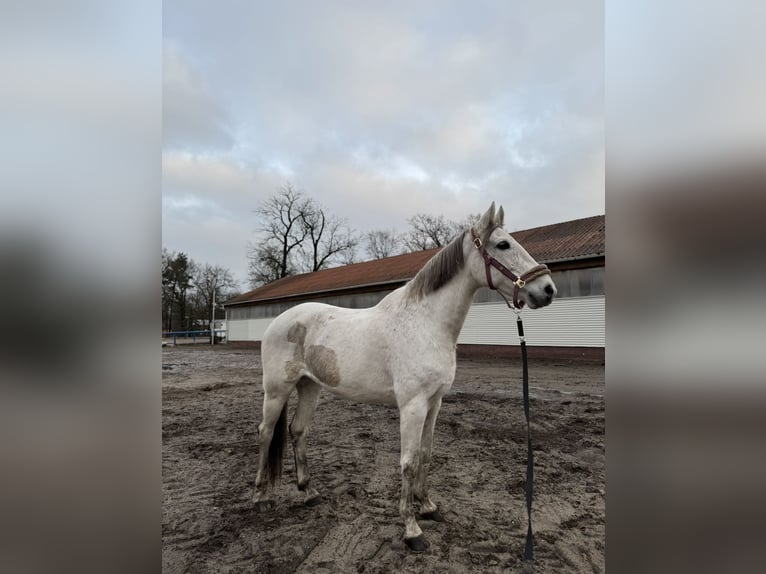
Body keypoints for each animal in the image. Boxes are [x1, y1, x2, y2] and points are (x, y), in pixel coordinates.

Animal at [252, 202, 556, 551]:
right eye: (503, 244)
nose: (547, 290)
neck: (426, 323)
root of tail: (280, 320)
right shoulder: (413, 406)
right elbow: (408, 461)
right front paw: (412, 529)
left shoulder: (434, 403)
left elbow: (425, 454)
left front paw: (427, 507)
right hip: (277, 390)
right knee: (265, 433)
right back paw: (261, 498)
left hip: (310, 387)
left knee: (298, 430)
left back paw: (309, 492)